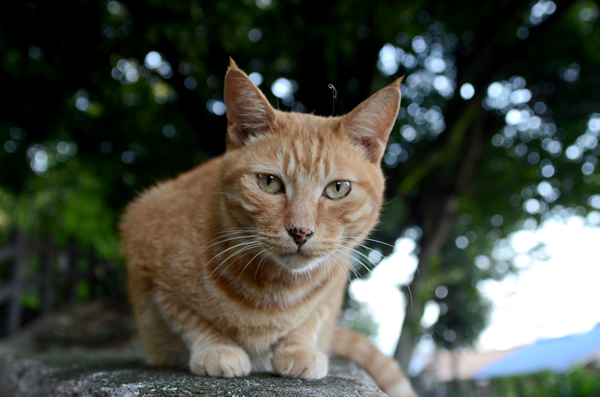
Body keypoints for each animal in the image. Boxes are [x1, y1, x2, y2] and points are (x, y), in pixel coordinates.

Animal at [119, 59, 414, 396]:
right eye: (269, 182)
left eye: (338, 188)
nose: (301, 231)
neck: (276, 290)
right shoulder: (150, 266)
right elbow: (188, 318)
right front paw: (218, 349)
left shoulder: (334, 283)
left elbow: (313, 317)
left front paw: (299, 349)